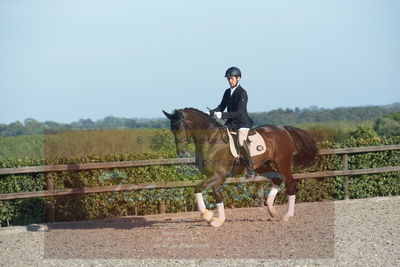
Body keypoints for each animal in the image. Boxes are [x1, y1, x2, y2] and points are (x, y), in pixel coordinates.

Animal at [161, 108, 318, 227]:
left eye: (183, 127)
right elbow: (217, 194)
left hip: (282, 163)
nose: (182, 153)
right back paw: (271, 210)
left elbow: (198, 188)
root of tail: (283, 129)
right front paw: (218, 220)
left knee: (290, 183)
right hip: (263, 166)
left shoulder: (219, 175)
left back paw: (287, 215)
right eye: (172, 129)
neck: (211, 140)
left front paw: (207, 215)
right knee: (277, 180)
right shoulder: (215, 177)